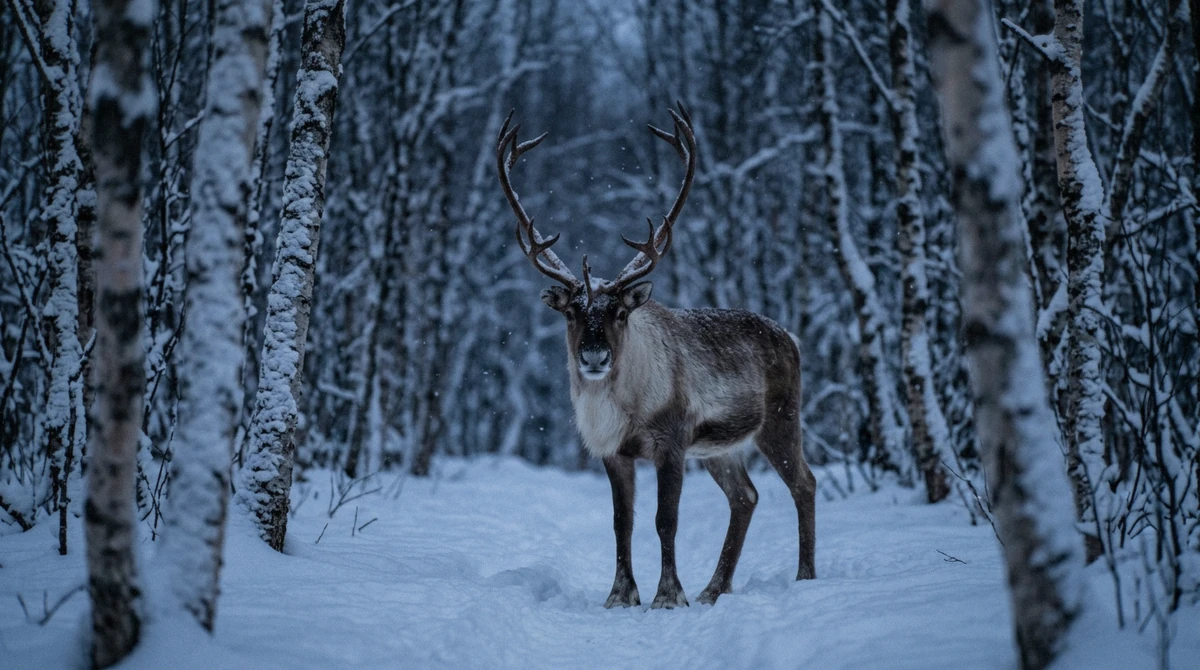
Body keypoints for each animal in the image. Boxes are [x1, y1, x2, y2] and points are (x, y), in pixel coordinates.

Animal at [495, 103, 815, 609]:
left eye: (621, 312)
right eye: (571, 312)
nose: (594, 355)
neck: (624, 409)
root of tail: (791, 337)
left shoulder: (673, 440)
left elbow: (666, 520)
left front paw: (668, 596)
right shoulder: (612, 452)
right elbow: (621, 523)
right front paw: (620, 595)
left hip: (781, 419)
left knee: (804, 483)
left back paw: (803, 577)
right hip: (721, 447)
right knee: (746, 496)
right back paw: (713, 590)